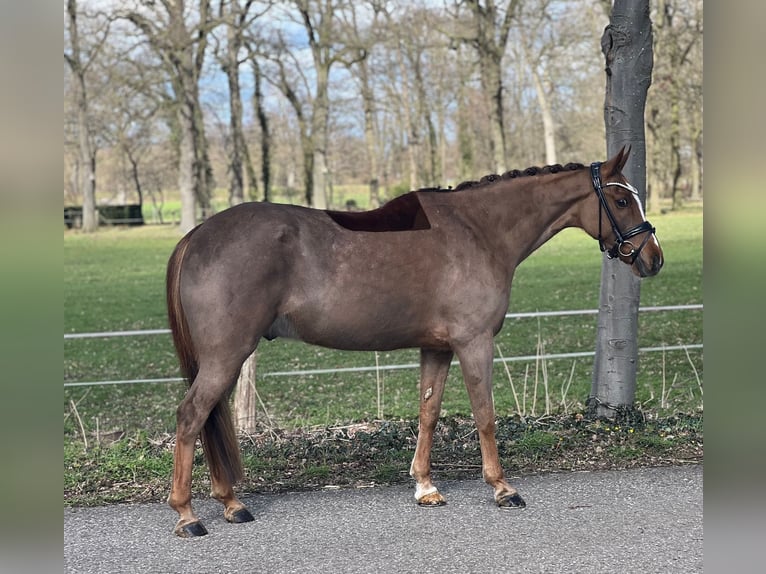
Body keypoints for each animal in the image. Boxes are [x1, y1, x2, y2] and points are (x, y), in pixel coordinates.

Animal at [165, 146, 664, 536]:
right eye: (622, 199)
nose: (653, 259)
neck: (479, 232)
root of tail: (198, 235)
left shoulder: (437, 348)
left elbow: (428, 413)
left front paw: (425, 487)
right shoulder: (474, 343)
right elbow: (485, 415)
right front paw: (502, 488)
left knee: (210, 419)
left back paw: (231, 504)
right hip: (226, 356)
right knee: (192, 416)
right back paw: (188, 515)